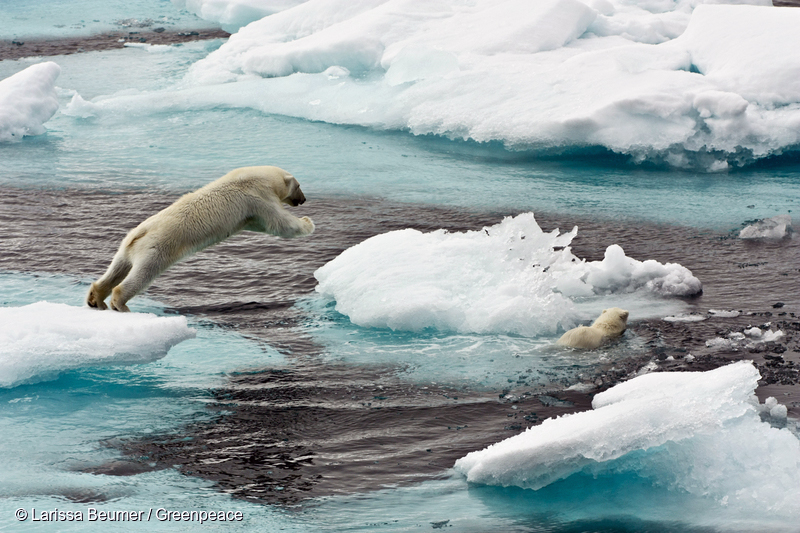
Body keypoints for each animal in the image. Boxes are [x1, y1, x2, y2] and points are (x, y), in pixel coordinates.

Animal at [85, 166, 316, 312]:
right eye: (298, 186)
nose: (304, 200)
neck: (261, 176)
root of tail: (139, 233)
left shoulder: (249, 213)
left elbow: (259, 224)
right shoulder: (258, 196)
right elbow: (279, 223)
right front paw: (308, 222)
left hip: (126, 248)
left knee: (116, 269)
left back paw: (96, 299)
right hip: (157, 248)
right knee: (142, 274)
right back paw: (120, 304)